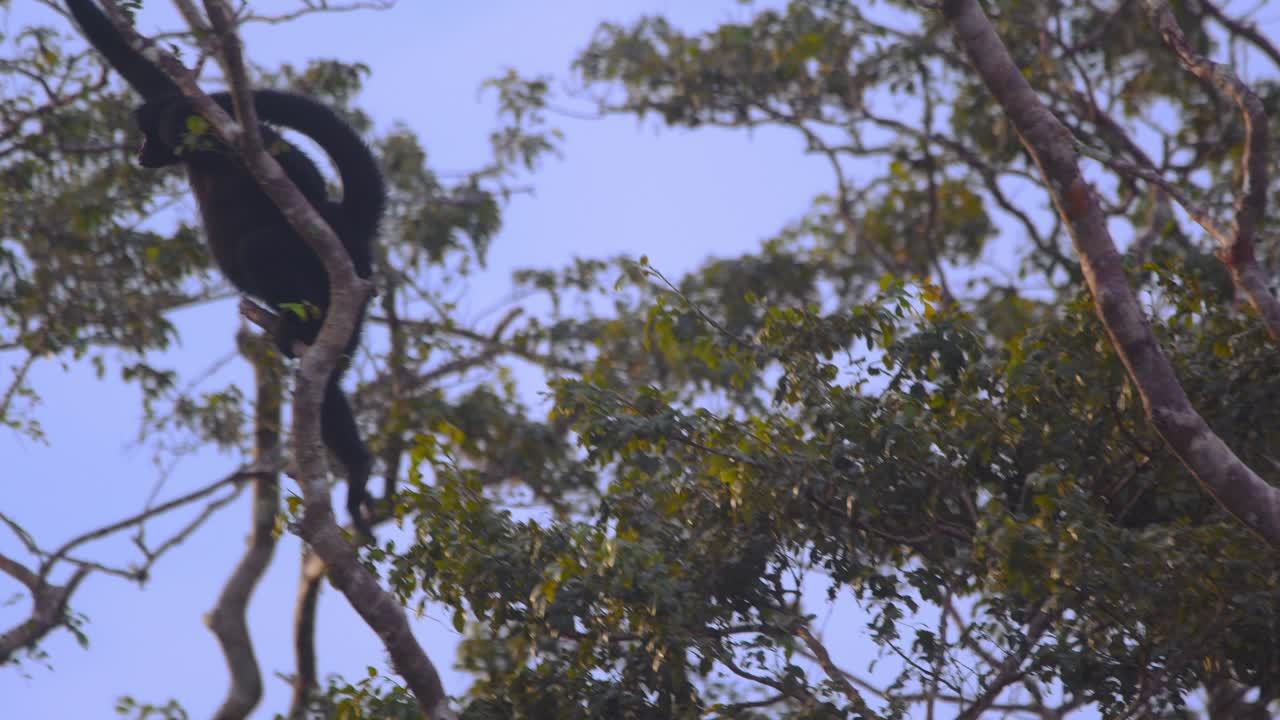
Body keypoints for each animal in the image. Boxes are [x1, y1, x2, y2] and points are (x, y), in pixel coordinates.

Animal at [64, 0, 384, 539]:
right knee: (324, 380)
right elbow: (133, 63)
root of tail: (350, 230)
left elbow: (291, 172)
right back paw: (357, 464)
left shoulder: (231, 135)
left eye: (147, 135)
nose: (142, 151)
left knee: (263, 246)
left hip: (339, 277)